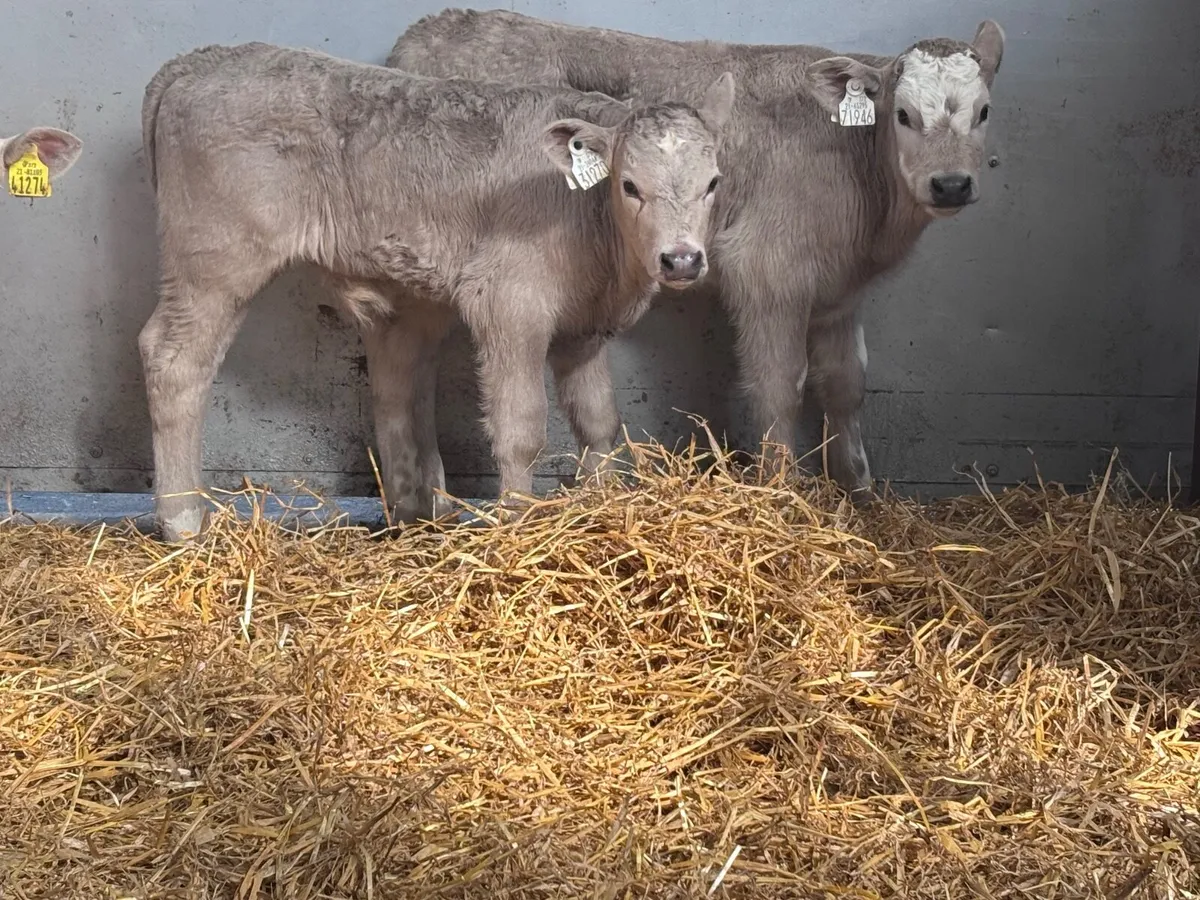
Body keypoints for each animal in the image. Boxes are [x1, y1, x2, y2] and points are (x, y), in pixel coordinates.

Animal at [138, 41, 735, 542]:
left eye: (713, 183)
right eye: (630, 184)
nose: (681, 259)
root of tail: (202, 60)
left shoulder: (584, 326)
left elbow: (599, 421)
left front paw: (605, 503)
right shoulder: (507, 302)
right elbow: (521, 426)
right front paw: (520, 522)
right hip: (214, 260)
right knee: (173, 360)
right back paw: (184, 520)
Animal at [390, 9, 1005, 498]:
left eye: (984, 112)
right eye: (903, 115)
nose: (951, 184)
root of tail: (434, 26)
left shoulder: (839, 294)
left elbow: (847, 387)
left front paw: (860, 495)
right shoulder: (768, 274)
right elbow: (779, 388)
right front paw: (784, 495)